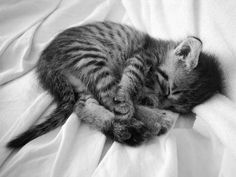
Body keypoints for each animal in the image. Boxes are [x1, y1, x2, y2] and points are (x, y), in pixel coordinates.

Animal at [6, 20, 222, 149]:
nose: (158, 105)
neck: (161, 49)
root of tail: (45, 58)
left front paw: (147, 105)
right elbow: (130, 83)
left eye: (173, 107)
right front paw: (136, 102)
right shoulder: (140, 57)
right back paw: (149, 121)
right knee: (109, 97)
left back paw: (122, 128)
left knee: (84, 107)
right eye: (167, 90)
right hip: (91, 57)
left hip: (81, 82)